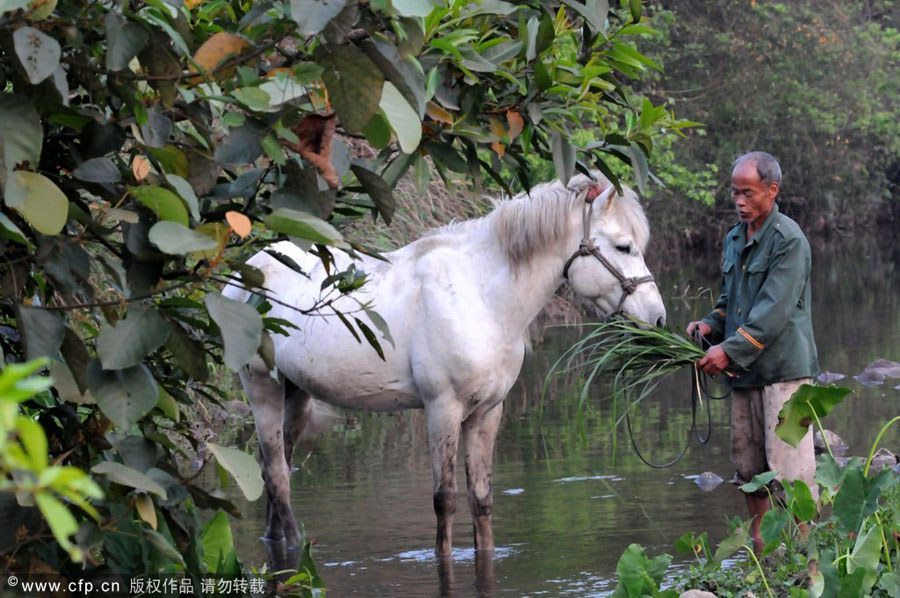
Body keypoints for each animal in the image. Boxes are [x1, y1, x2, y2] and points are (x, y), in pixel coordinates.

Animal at [222, 173, 664, 556]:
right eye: (623, 246)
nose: (657, 319)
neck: (481, 297)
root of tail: (242, 276)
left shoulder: (487, 412)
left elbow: (481, 499)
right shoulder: (442, 409)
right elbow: (445, 500)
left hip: (294, 393)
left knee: (276, 470)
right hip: (261, 389)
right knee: (278, 476)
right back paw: (297, 549)